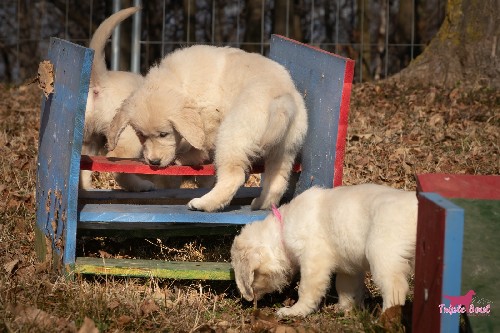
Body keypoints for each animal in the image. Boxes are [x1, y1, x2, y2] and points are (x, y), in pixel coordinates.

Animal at [107, 44, 306, 211]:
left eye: (164, 134)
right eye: (141, 135)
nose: (154, 162)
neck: (178, 80)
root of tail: (282, 99)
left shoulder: (209, 116)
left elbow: (202, 142)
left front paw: (187, 157)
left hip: (232, 134)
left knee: (234, 176)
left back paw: (204, 204)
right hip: (285, 149)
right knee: (278, 180)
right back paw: (261, 204)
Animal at [230, 183, 418, 316]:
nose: (247, 301)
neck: (282, 230)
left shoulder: (313, 260)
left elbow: (306, 289)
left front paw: (295, 311)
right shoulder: (348, 267)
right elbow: (346, 287)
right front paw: (346, 309)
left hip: (382, 255)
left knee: (395, 288)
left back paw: (385, 319)